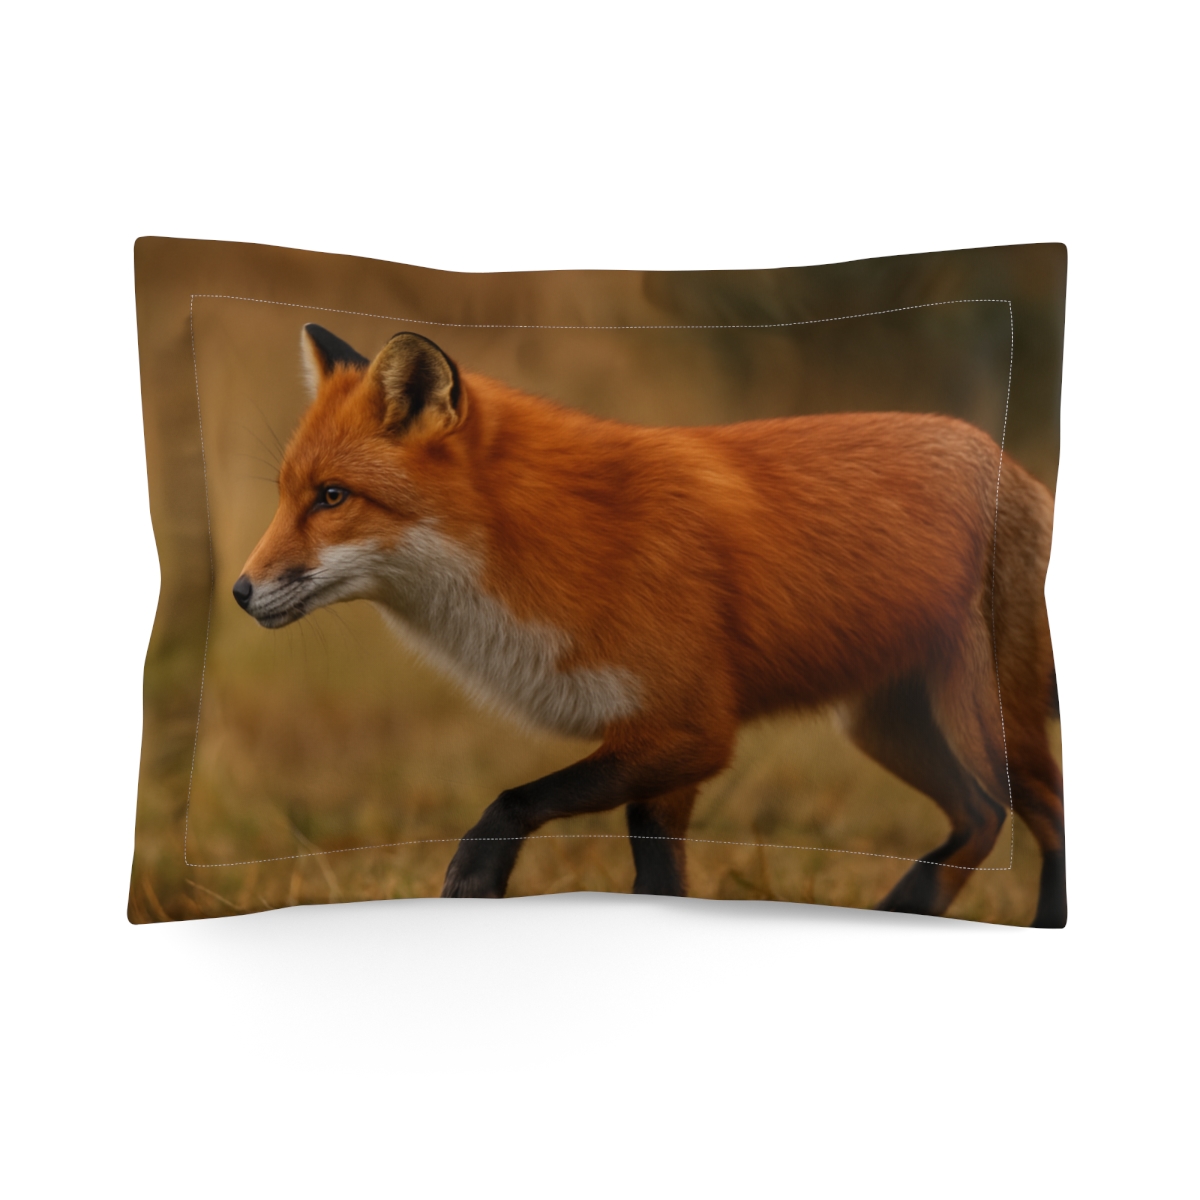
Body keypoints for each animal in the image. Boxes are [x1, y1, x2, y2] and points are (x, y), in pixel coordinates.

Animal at [234, 323, 1066, 925]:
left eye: (332, 497)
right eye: (286, 494)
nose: (240, 592)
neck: (537, 542)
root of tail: (1011, 464)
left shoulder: (691, 730)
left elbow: (514, 799)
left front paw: (474, 874)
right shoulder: (665, 757)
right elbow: (659, 880)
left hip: (985, 726)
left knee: (1047, 819)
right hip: (887, 728)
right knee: (982, 816)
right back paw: (906, 906)